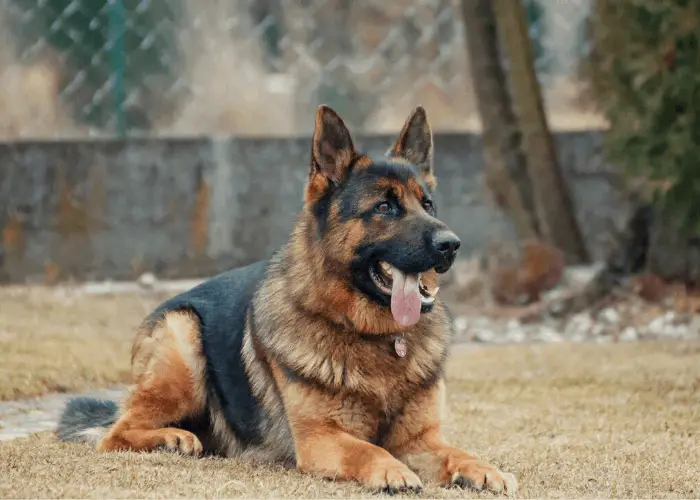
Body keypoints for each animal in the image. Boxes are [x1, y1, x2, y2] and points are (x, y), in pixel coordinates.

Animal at [57, 105, 516, 496]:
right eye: (385, 207)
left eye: (428, 204)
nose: (451, 244)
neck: (376, 337)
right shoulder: (320, 439)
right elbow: (367, 448)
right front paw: (392, 470)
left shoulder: (422, 439)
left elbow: (458, 452)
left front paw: (485, 469)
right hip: (182, 338)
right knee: (115, 432)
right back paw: (172, 437)